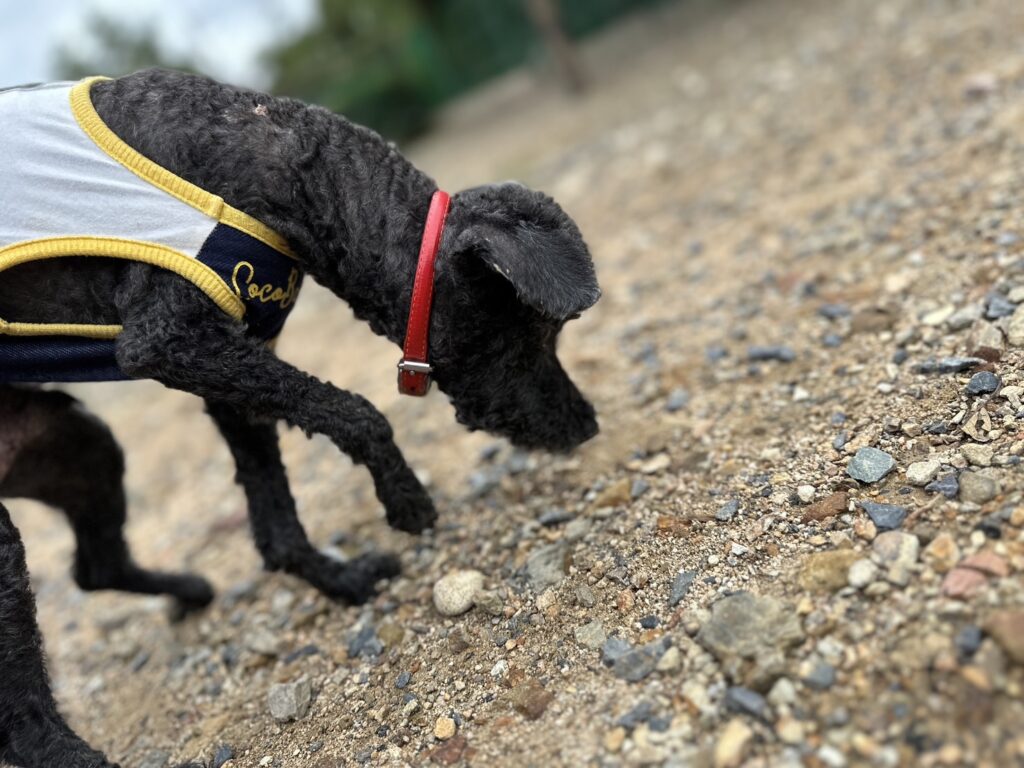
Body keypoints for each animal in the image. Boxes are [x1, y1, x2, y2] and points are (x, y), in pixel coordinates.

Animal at [0, 69, 600, 768]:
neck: (287, 166)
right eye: (536, 334)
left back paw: (193, 591)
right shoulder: (168, 339)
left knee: (95, 568)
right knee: (25, 715)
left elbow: (277, 528)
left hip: (78, 444)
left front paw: (339, 578)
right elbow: (358, 412)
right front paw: (405, 499)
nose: (587, 424)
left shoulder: (227, 366)